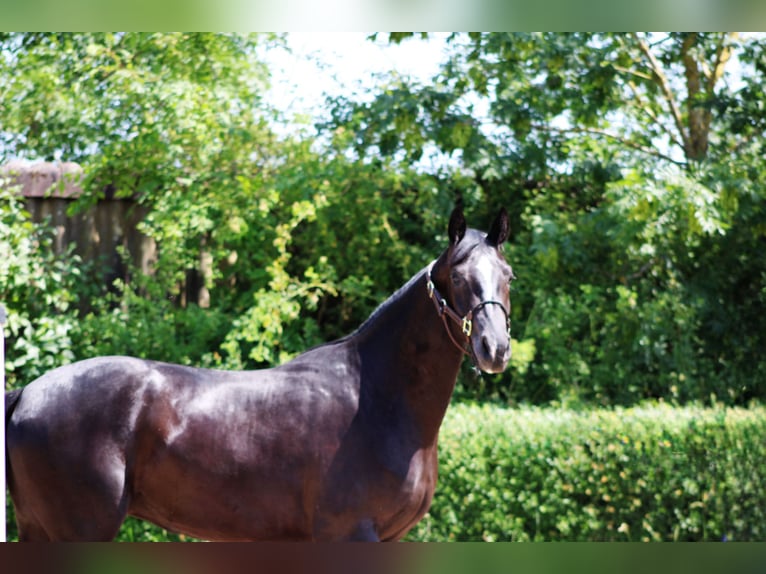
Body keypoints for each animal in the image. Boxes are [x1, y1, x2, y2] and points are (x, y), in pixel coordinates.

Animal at [5, 206, 515, 541]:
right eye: (457, 276)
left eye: (507, 274)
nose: (495, 348)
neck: (376, 401)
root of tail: (27, 394)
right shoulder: (352, 534)